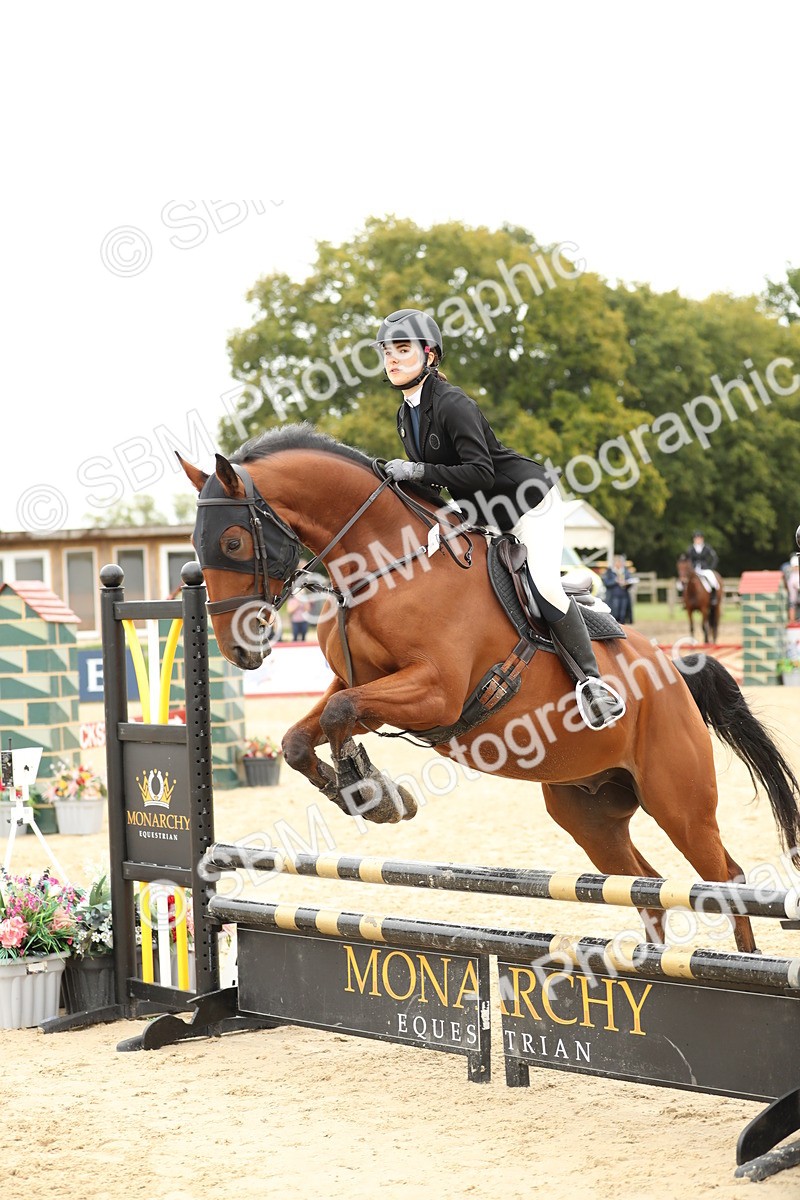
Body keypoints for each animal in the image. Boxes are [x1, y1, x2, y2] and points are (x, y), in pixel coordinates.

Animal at [178, 426, 800, 954]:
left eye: (232, 542)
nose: (238, 650)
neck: (387, 564)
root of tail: (672, 671)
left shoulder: (436, 693)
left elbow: (338, 713)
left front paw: (373, 792)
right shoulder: (363, 681)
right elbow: (303, 735)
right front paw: (367, 792)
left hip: (679, 801)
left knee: (726, 880)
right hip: (590, 811)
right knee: (648, 888)